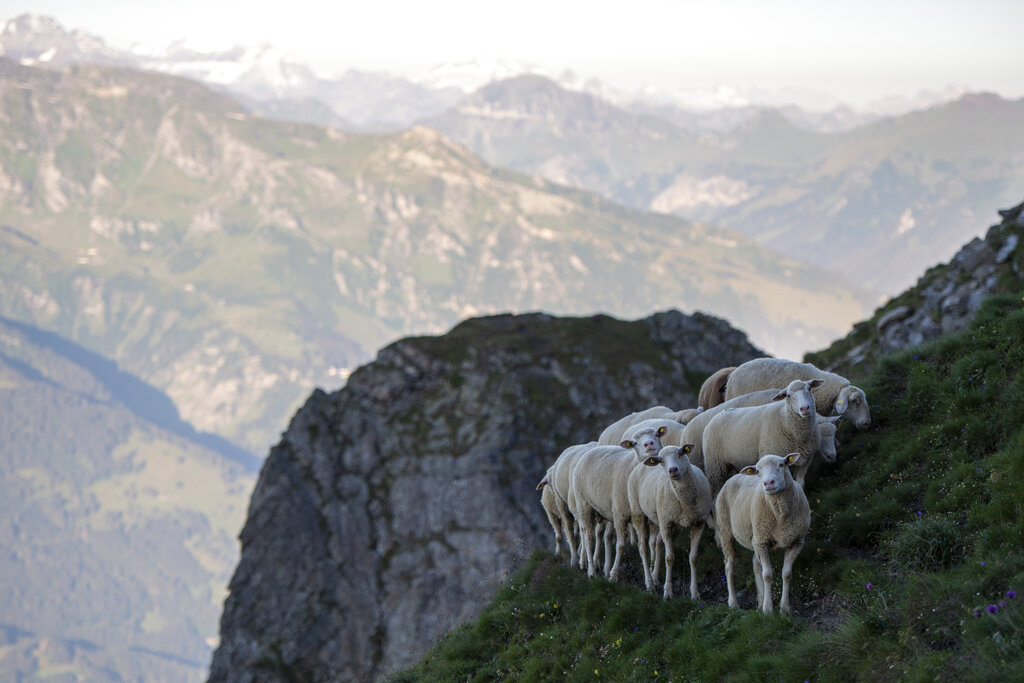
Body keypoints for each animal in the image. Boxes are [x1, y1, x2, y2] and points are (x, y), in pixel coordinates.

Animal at [622, 444, 712, 598]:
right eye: (660, 461)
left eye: (681, 453)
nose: (672, 470)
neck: (686, 502)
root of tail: (642, 463)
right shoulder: (667, 524)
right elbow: (669, 558)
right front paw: (668, 592)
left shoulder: (699, 523)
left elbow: (693, 558)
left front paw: (695, 593)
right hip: (638, 513)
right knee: (642, 547)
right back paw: (649, 583)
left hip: (658, 518)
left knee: (657, 543)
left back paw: (655, 576)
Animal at [716, 454, 811, 614]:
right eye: (758, 472)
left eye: (781, 464)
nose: (768, 483)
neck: (780, 516)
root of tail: (734, 476)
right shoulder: (762, 541)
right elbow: (767, 575)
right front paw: (768, 609)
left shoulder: (797, 541)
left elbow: (787, 574)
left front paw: (785, 608)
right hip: (726, 530)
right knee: (729, 565)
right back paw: (733, 603)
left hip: (756, 537)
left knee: (755, 563)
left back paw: (759, 602)